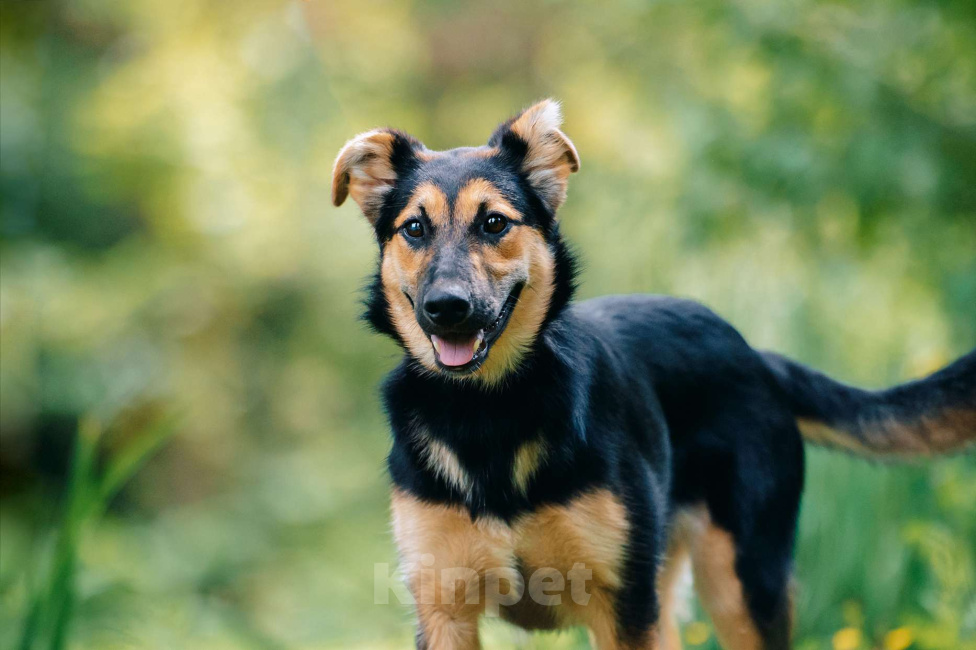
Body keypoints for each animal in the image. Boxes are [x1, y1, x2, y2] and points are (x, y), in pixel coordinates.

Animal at [330, 98, 976, 644]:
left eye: (494, 223)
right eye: (415, 228)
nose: (447, 308)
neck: (487, 408)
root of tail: (753, 355)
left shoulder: (621, 605)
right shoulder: (445, 607)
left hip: (742, 582)